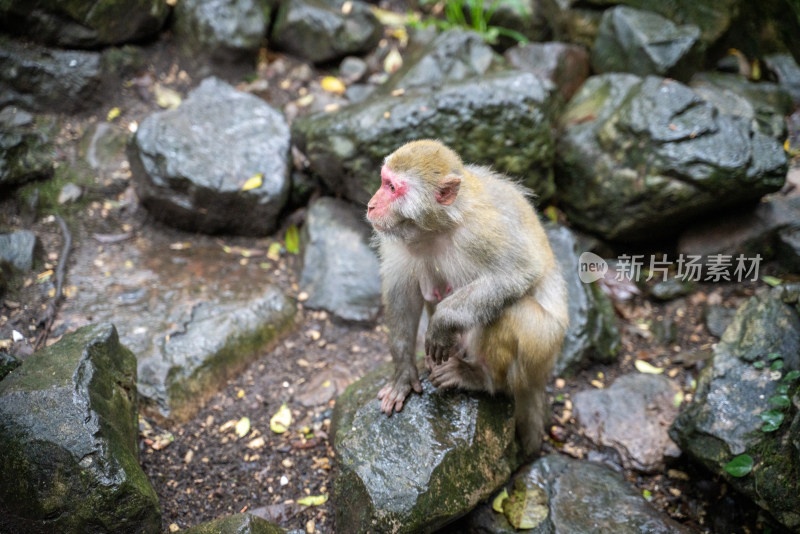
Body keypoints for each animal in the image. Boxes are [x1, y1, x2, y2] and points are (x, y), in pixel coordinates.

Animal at [368, 139, 568, 456]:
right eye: (384, 181)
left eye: (392, 188)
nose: (371, 205)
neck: (438, 226)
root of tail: (540, 378)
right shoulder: (397, 236)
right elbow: (403, 295)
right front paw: (403, 373)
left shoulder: (481, 232)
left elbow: (519, 272)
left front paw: (442, 322)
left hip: (541, 349)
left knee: (510, 310)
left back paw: (479, 378)